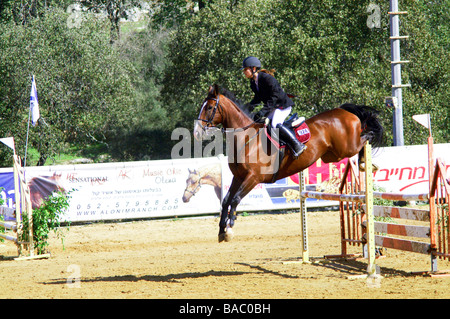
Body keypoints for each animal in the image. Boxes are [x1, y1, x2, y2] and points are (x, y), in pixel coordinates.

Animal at [194, 84, 384, 242]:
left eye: (209, 107)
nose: (196, 132)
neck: (246, 138)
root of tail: (344, 111)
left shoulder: (253, 178)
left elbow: (235, 199)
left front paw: (230, 229)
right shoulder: (239, 177)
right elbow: (226, 200)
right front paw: (221, 230)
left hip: (347, 147)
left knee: (366, 136)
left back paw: (365, 160)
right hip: (332, 155)